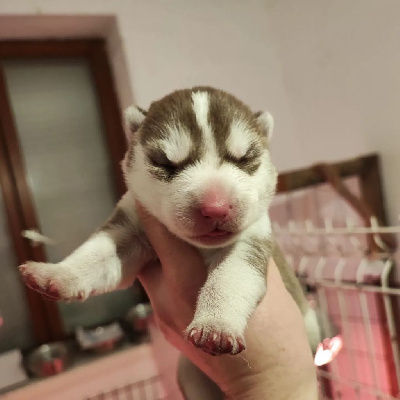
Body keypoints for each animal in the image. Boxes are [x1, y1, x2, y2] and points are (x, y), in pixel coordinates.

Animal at [18, 87, 320, 356]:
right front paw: (57, 274)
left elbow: (230, 277)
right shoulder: (131, 227)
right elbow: (95, 254)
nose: (216, 208)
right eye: (164, 163)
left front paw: (215, 326)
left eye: (245, 159)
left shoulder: (251, 240)